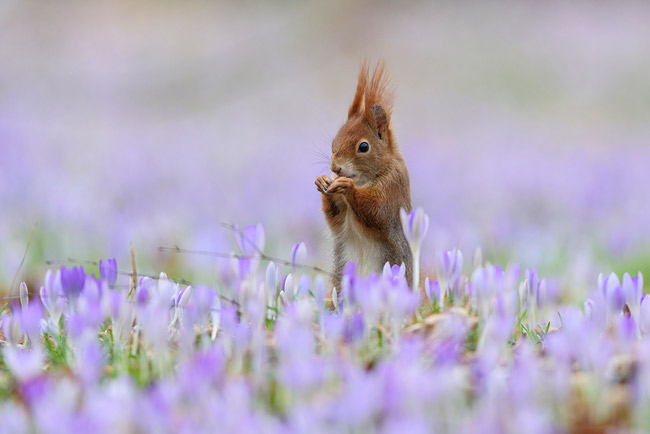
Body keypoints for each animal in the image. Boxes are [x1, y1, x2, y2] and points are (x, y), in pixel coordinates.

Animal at [315, 61, 413, 291]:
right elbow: (335, 218)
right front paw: (323, 181)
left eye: (363, 147)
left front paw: (347, 187)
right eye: (334, 141)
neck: (362, 180)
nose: (335, 168)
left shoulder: (393, 187)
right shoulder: (340, 220)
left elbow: (376, 211)